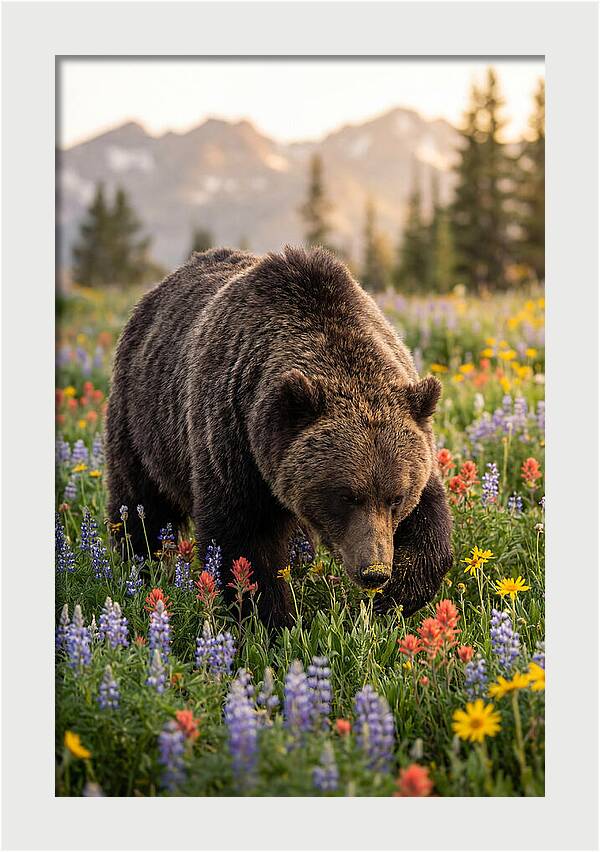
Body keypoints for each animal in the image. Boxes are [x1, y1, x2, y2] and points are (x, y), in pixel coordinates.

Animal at [105, 245, 452, 627]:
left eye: (396, 497)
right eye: (346, 496)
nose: (374, 571)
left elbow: (430, 523)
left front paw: (395, 598)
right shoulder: (234, 440)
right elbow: (244, 542)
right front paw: (271, 621)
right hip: (143, 422)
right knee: (141, 503)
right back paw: (138, 566)